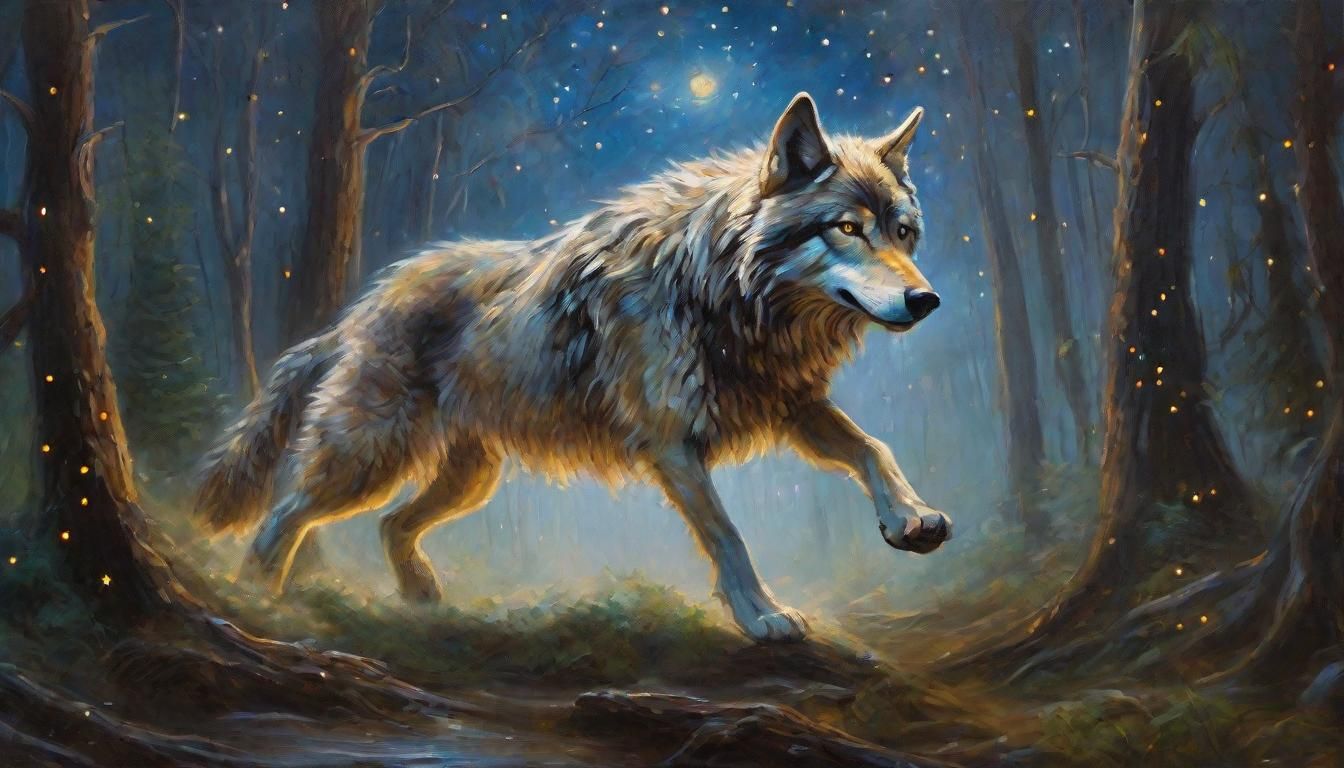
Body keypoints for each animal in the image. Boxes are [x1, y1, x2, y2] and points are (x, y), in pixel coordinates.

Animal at [196, 92, 951, 642]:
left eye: (903, 232)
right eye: (847, 228)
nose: (926, 300)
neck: (726, 293)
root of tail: (360, 309)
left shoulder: (789, 403)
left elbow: (873, 448)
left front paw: (912, 520)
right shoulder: (673, 444)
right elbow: (728, 535)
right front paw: (763, 616)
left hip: (469, 478)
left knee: (388, 525)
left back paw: (421, 598)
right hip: (370, 457)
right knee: (285, 512)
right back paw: (256, 598)